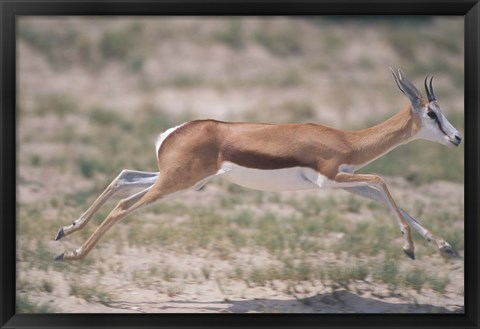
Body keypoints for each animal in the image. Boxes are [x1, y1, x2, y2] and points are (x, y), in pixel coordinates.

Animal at [54, 68, 464, 262]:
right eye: (432, 113)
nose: (457, 138)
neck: (347, 140)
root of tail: (173, 132)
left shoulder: (345, 182)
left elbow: (388, 197)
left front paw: (443, 247)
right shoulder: (331, 178)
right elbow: (382, 180)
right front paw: (411, 249)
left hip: (180, 180)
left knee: (124, 177)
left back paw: (64, 232)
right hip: (174, 184)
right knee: (124, 206)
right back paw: (72, 254)